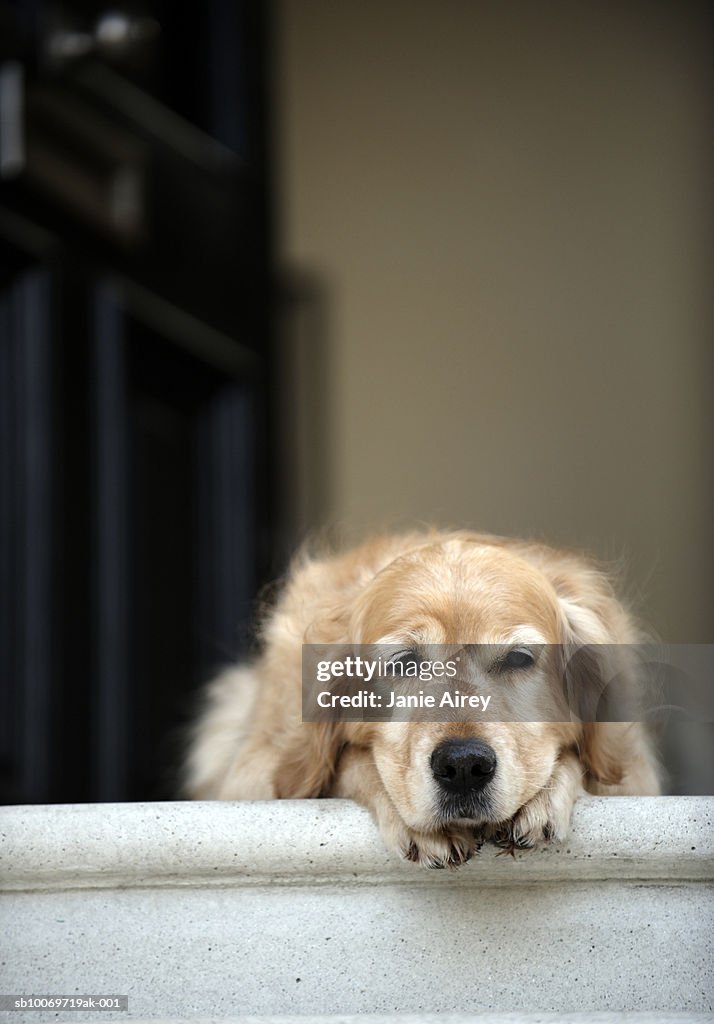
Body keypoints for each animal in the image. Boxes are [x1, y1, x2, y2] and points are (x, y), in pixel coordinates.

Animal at [183, 532, 655, 868]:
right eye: (405, 662)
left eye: (519, 658)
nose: (463, 766)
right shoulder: (255, 773)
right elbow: (348, 762)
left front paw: (543, 796)